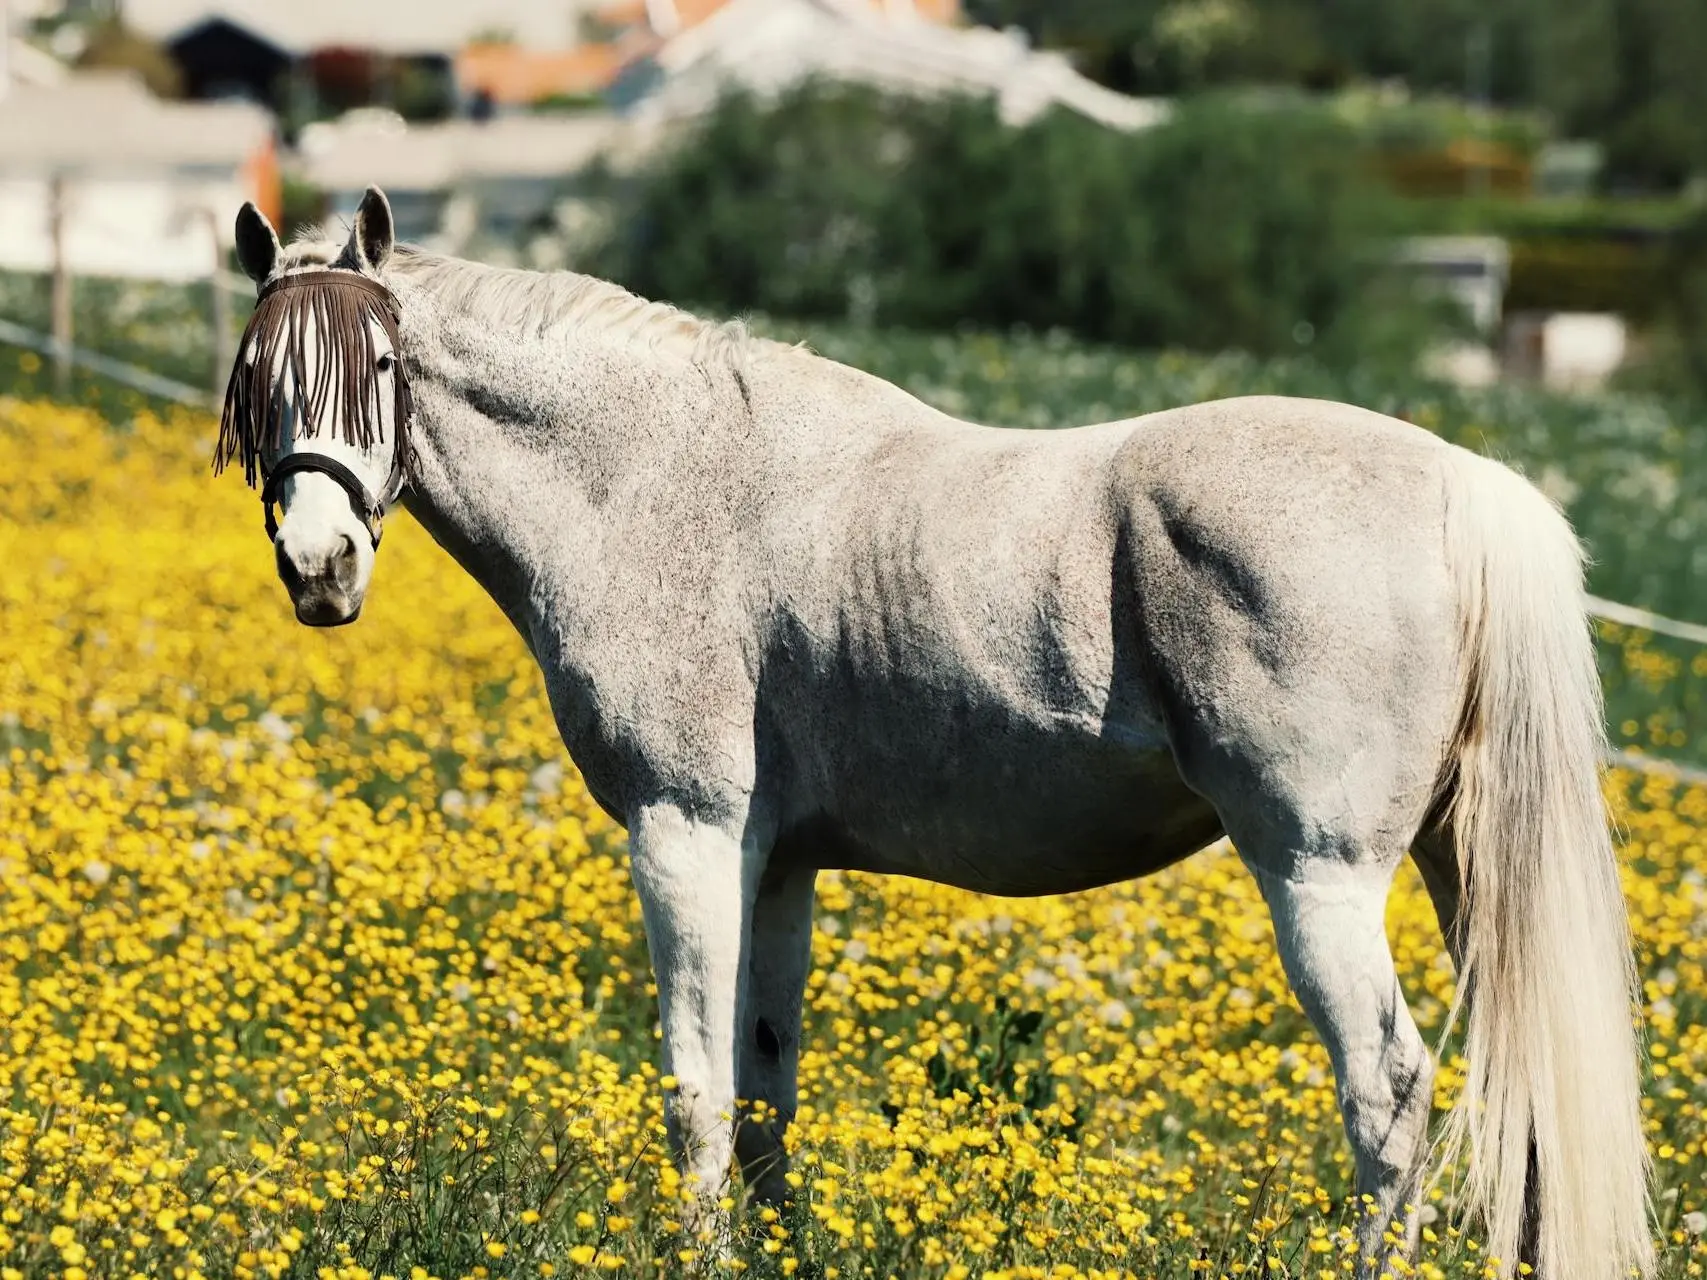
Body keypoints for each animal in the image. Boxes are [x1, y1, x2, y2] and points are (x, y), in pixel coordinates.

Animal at [220, 192, 1645, 1280]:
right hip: (1464, 868)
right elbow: (764, 1090)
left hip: (1320, 874)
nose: (318, 567)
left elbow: (693, 1088)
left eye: (382, 369)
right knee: (1517, 1092)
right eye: (257, 380)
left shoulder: (687, 835)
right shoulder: (777, 862)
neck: (657, 479)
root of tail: (1467, 486)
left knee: (1391, 1092)